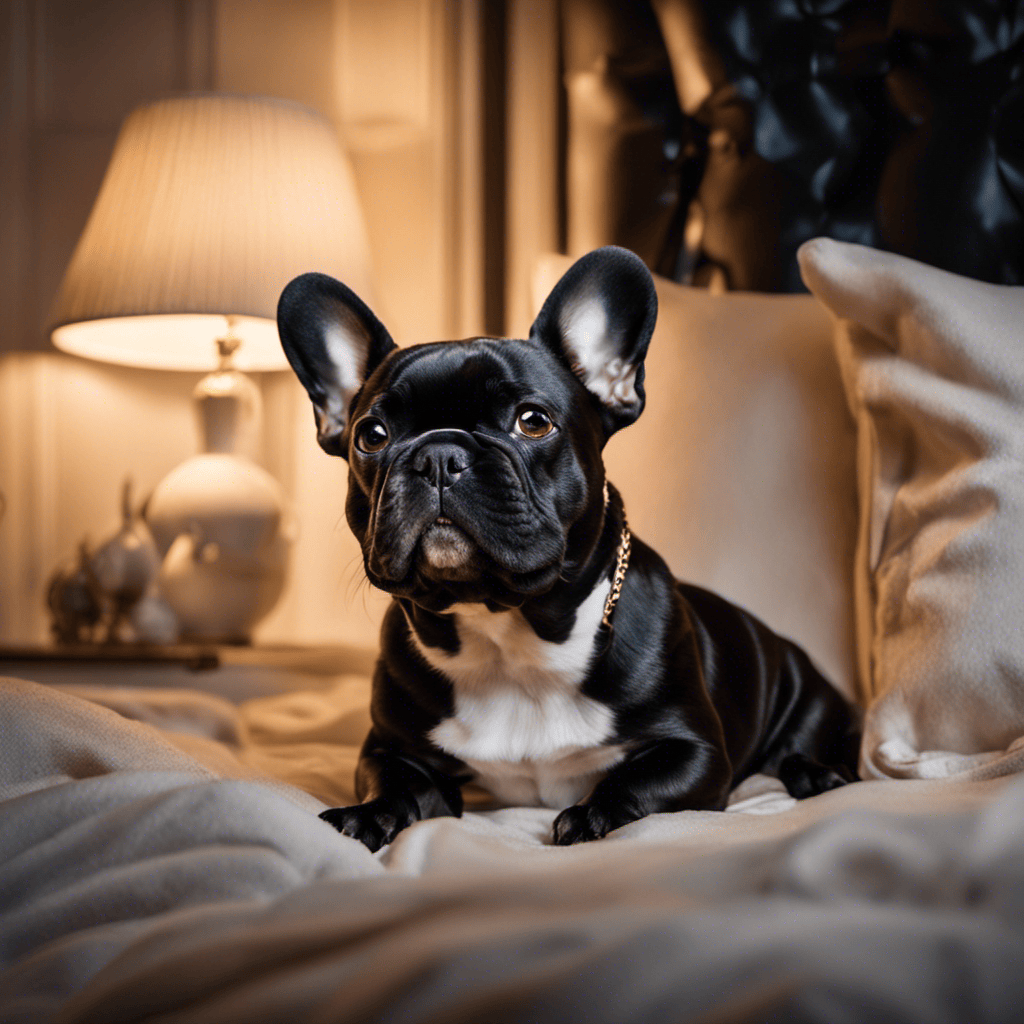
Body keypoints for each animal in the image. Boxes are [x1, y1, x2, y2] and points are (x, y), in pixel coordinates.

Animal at [278, 245, 856, 847]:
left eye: (533, 422)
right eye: (372, 436)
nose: (439, 455)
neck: (508, 639)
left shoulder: (694, 751)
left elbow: (637, 782)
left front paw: (592, 814)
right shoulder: (389, 747)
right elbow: (391, 781)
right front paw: (368, 814)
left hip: (808, 698)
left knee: (808, 749)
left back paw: (818, 772)